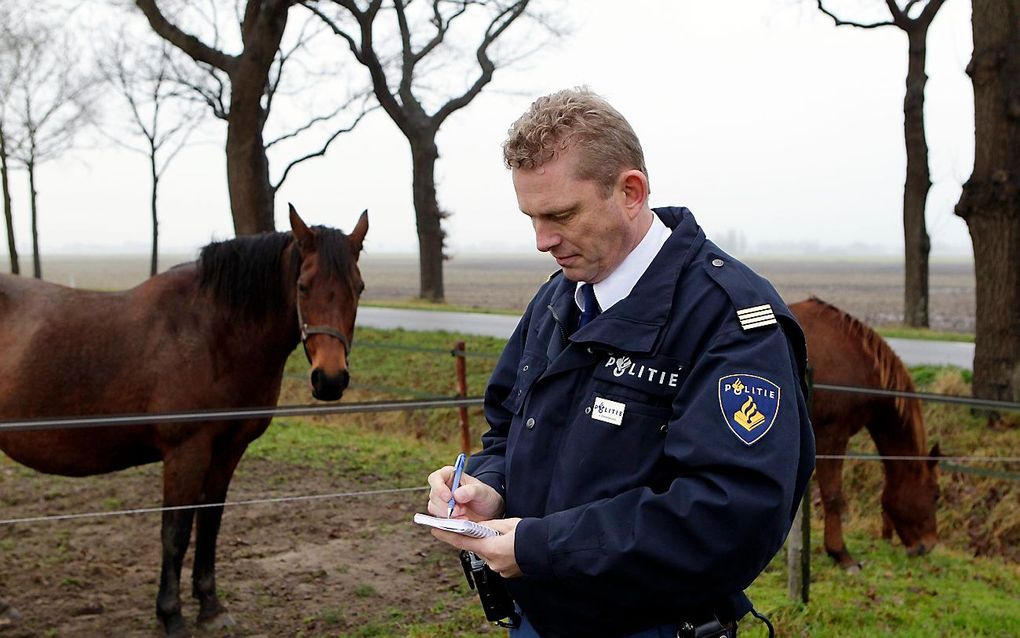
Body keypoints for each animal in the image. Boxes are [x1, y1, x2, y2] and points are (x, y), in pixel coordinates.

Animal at [0, 206, 367, 632]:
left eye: (358, 287)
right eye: (303, 286)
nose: (330, 379)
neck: (211, 334)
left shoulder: (229, 448)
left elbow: (209, 522)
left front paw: (211, 607)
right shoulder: (185, 451)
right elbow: (175, 531)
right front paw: (171, 615)